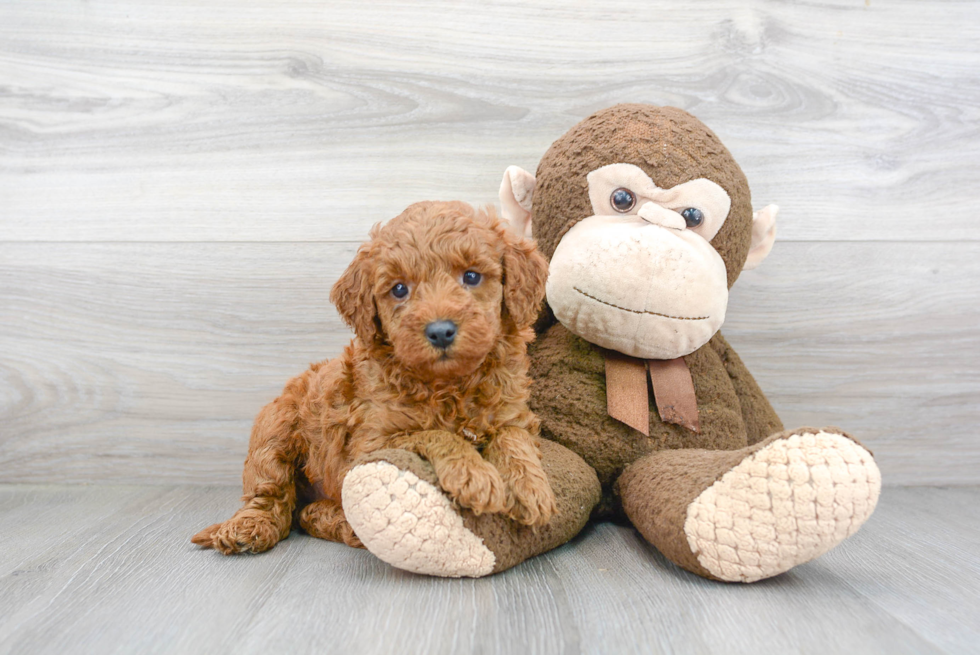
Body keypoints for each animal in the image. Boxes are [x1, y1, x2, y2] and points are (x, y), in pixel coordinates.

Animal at [193, 200, 560, 552]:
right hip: (275, 429)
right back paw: (249, 529)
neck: (449, 384)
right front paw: (474, 474)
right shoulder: (372, 442)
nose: (440, 331)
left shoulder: (513, 414)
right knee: (272, 496)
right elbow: (434, 434)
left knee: (305, 514)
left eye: (471, 276)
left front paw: (530, 488)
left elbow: (513, 438)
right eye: (399, 289)